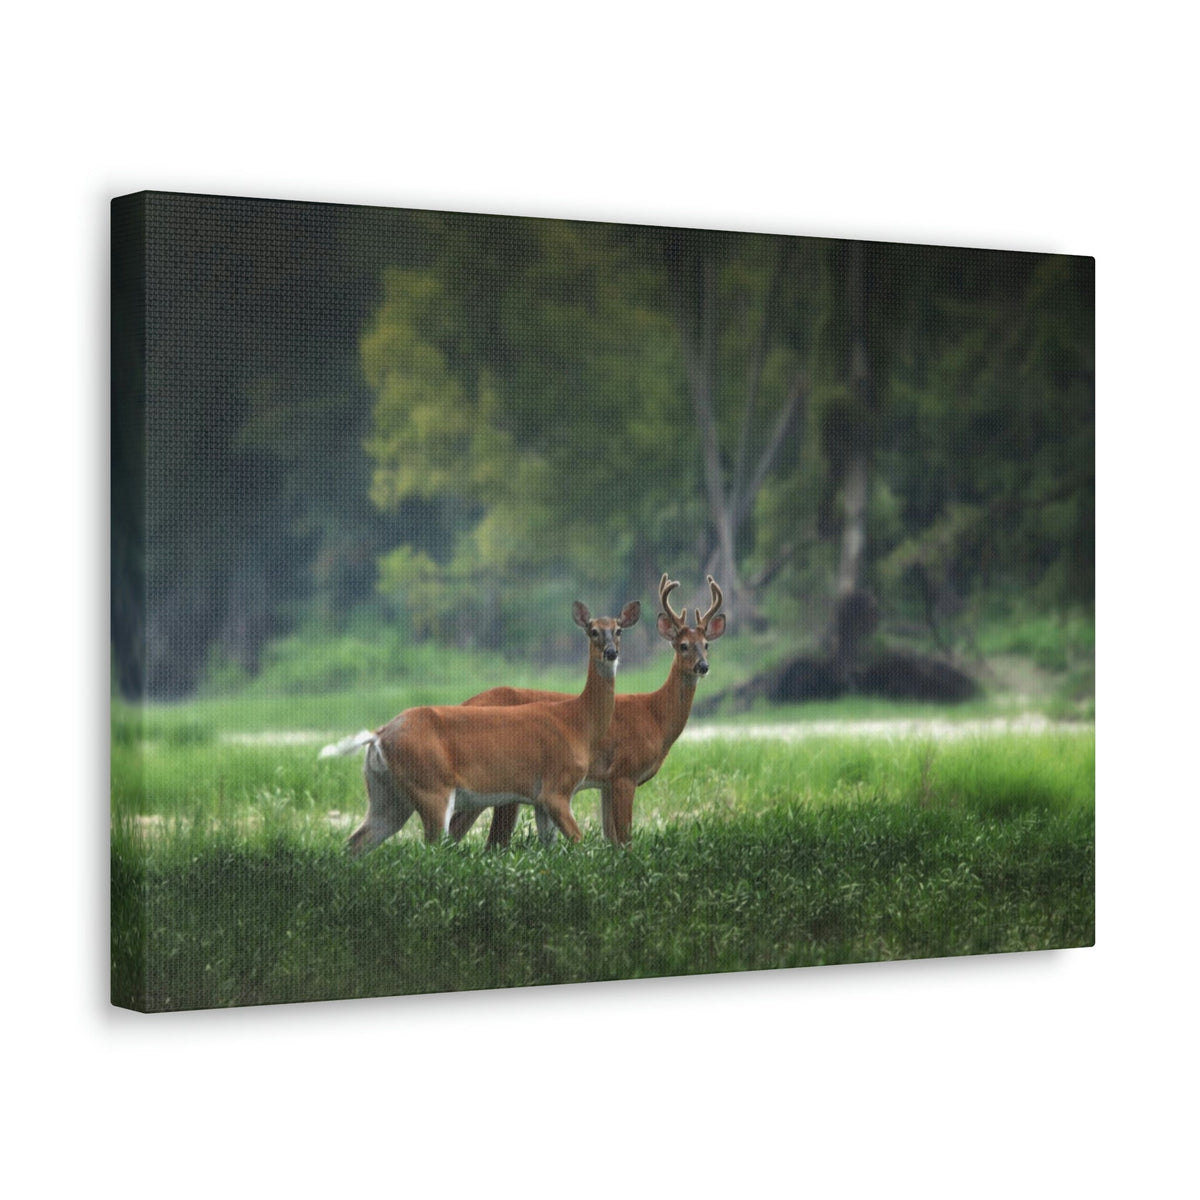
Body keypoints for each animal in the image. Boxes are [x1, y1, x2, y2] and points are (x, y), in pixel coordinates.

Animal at [319, 598, 641, 855]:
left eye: (619, 630)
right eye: (593, 630)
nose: (611, 652)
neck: (577, 721)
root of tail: (379, 735)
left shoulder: (539, 799)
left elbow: (551, 847)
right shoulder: (556, 788)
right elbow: (579, 843)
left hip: (387, 795)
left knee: (356, 842)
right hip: (431, 787)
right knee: (430, 848)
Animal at [449, 575, 726, 848]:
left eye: (706, 645)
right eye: (683, 645)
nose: (703, 666)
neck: (654, 716)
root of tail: (464, 703)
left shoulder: (606, 783)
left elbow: (611, 837)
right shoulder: (625, 771)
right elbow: (625, 838)